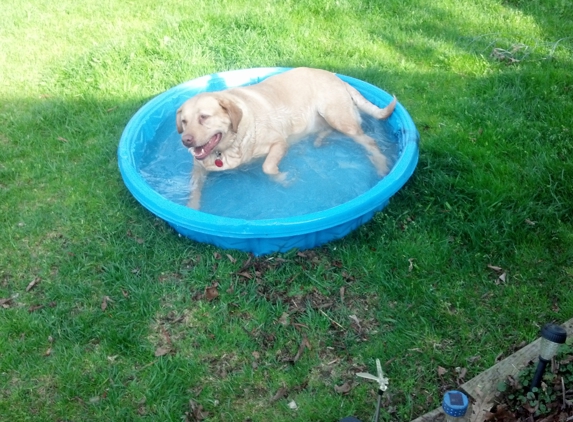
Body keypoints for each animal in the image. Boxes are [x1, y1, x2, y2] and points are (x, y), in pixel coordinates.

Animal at [177, 67, 396, 209]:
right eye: (184, 121)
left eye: (204, 117)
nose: (185, 140)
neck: (228, 146)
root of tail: (338, 78)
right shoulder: (199, 167)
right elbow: (194, 187)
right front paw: (192, 207)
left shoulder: (279, 143)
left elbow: (267, 167)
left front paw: (283, 179)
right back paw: (320, 139)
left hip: (339, 118)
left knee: (369, 142)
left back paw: (381, 166)